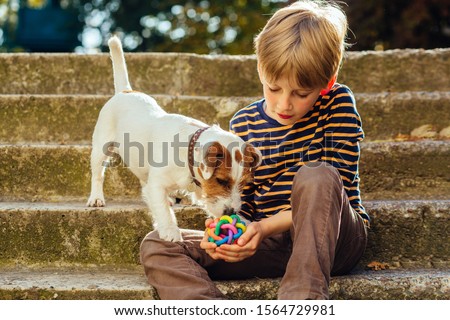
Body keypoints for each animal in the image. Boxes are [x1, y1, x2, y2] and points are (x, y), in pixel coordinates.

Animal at [86, 36, 262, 241]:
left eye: (243, 184)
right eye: (221, 181)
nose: (231, 212)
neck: (188, 152)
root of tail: (125, 91)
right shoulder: (158, 183)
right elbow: (162, 210)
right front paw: (170, 231)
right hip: (101, 147)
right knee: (98, 174)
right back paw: (96, 198)